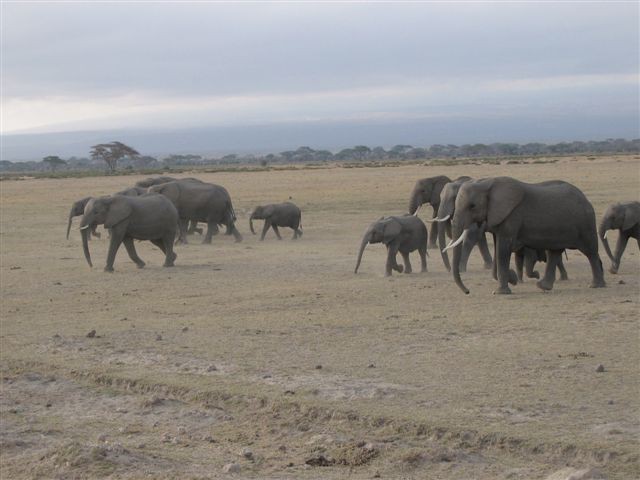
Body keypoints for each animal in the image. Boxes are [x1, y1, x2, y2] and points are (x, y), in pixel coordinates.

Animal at [444, 177, 604, 292]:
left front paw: (501, 291)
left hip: (586, 223)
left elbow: (503, 250)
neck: (487, 183)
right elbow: (498, 249)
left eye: (472, 206)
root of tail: (585, 199)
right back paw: (543, 286)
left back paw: (596, 285)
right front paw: (513, 279)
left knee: (591, 252)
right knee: (555, 252)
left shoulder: (511, 217)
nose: (467, 291)